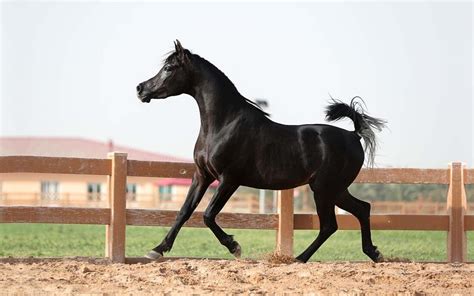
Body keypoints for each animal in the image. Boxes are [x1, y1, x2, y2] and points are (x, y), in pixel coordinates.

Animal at [136, 41, 386, 262]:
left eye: (169, 68)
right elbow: (184, 211)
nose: (140, 89)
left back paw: (299, 259)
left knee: (330, 225)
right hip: (336, 189)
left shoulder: (229, 180)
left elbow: (207, 215)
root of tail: (354, 135)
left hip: (324, 189)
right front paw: (156, 250)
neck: (224, 124)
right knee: (361, 209)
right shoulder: (202, 175)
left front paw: (234, 247)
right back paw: (373, 253)